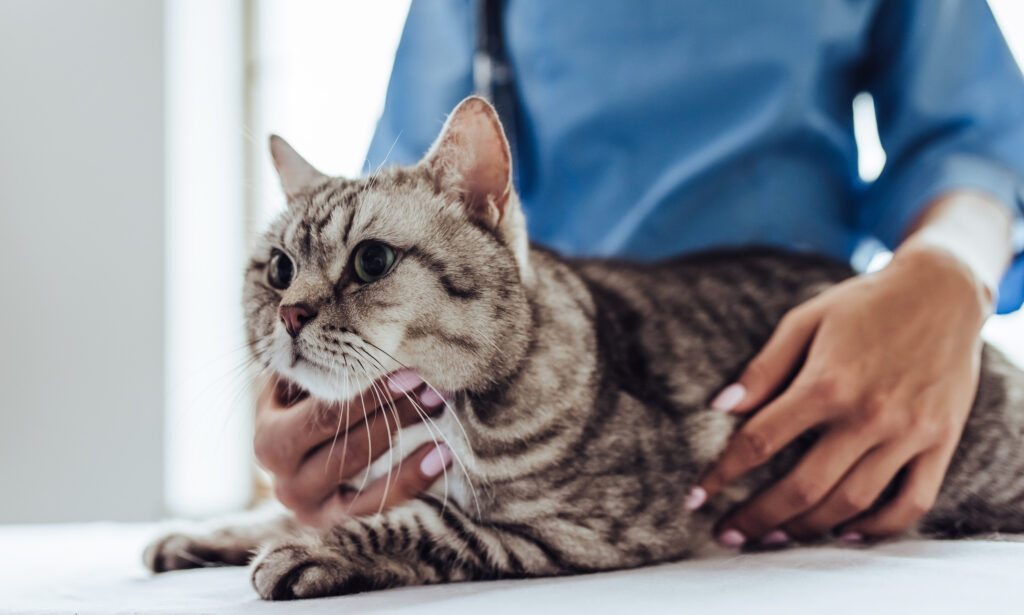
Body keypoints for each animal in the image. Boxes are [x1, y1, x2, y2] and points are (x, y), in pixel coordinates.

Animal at [148, 97, 1024, 597]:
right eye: (277, 269)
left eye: (370, 262)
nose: (290, 313)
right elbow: (284, 509)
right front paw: (210, 533)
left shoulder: (580, 526)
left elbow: (422, 523)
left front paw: (305, 549)